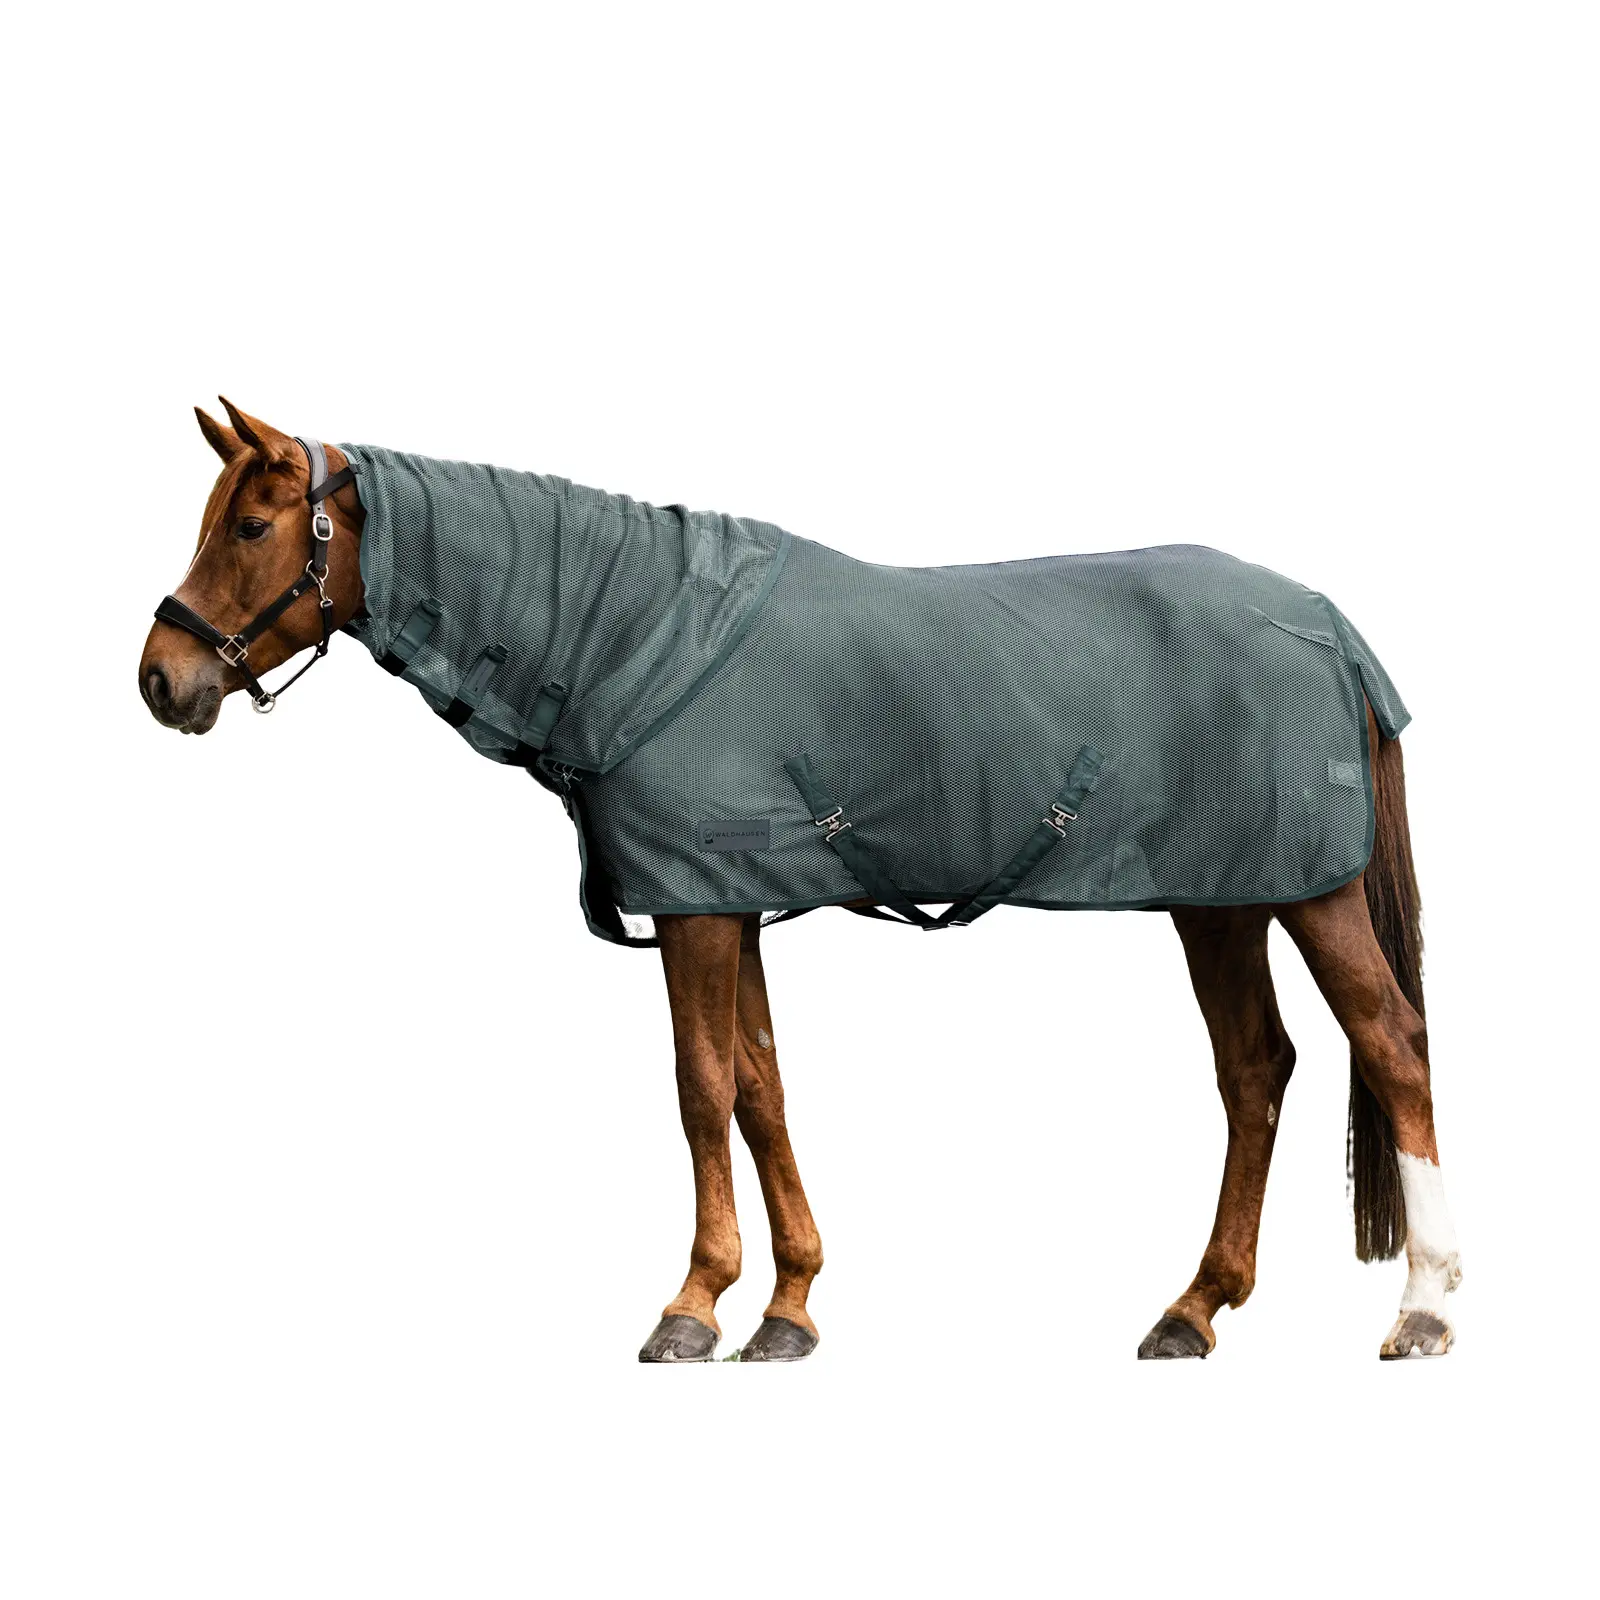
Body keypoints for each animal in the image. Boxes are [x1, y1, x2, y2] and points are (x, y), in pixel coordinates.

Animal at [138, 399, 1462, 1362]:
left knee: (1391, 1045)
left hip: (1304, 892)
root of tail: (1330, 626)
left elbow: (698, 1087)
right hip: (1218, 898)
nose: (160, 678)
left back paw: (1425, 1310)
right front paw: (787, 1309)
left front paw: (692, 1303)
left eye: (249, 528)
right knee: (1256, 1072)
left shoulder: (696, 908)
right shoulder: (733, 904)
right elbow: (761, 1089)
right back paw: (1191, 1310)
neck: (639, 635)